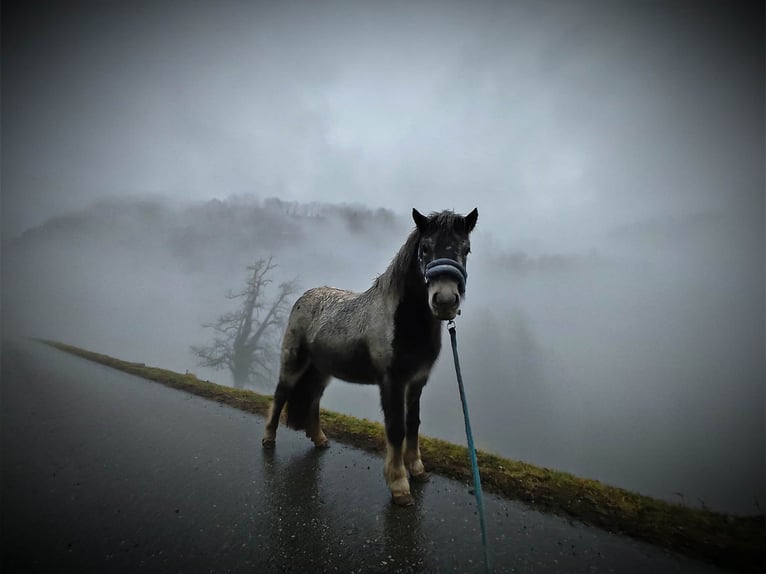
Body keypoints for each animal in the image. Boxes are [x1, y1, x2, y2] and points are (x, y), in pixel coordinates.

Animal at [262, 207, 479, 506]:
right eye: (425, 248)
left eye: (466, 249)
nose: (445, 300)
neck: (404, 322)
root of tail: (305, 296)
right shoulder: (392, 382)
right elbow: (396, 428)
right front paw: (399, 485)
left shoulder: (417, 382)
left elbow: (413, 424)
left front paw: (417, 469)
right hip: (294, 364)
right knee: (281, 394)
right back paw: (269, 439)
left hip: (322, 370)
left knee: (314, 400)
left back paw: (320, 439)